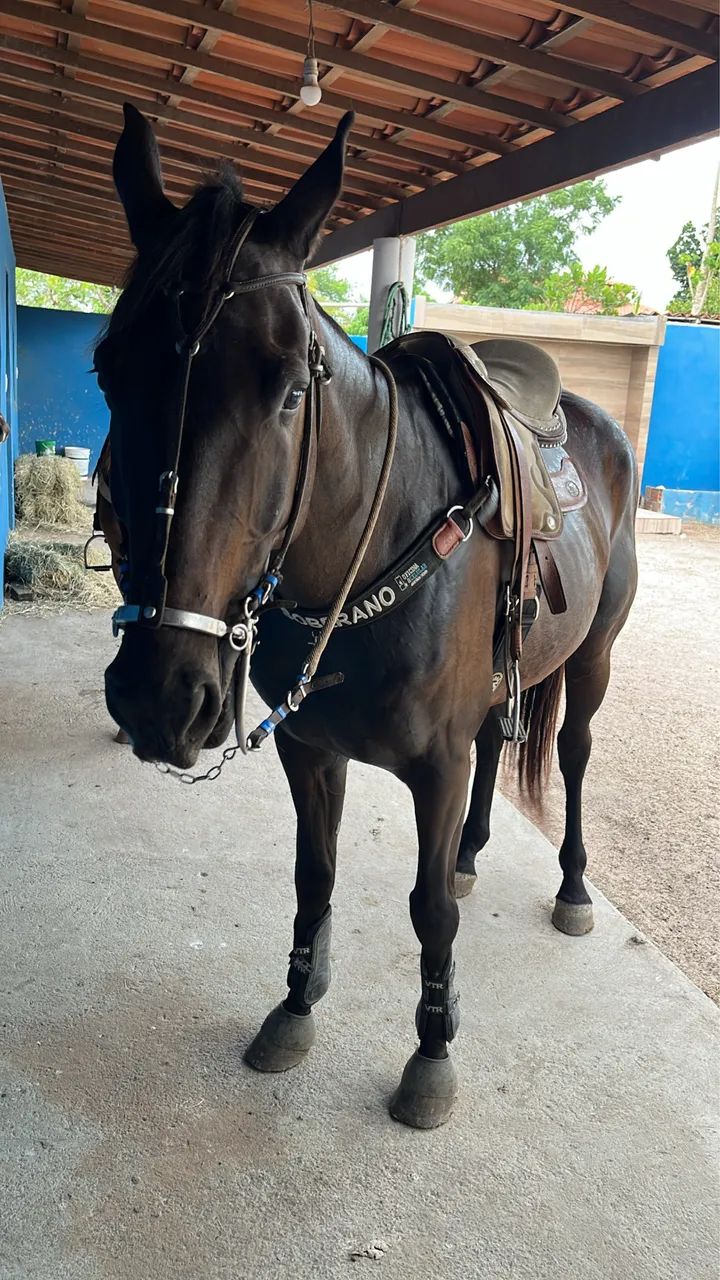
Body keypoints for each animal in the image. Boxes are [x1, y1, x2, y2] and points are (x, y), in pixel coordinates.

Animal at [96, 104, 638, 1129]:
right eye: (108, 369)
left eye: (287, 388)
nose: (161, 697)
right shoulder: (312, 747)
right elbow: (316, 873)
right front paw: (296, 1002)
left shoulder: (435, 765)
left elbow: (429, 911)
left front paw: (432, 1050)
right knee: (500, 743)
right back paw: (473, 849)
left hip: (592, 659)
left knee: (577, 753)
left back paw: (574, 883)